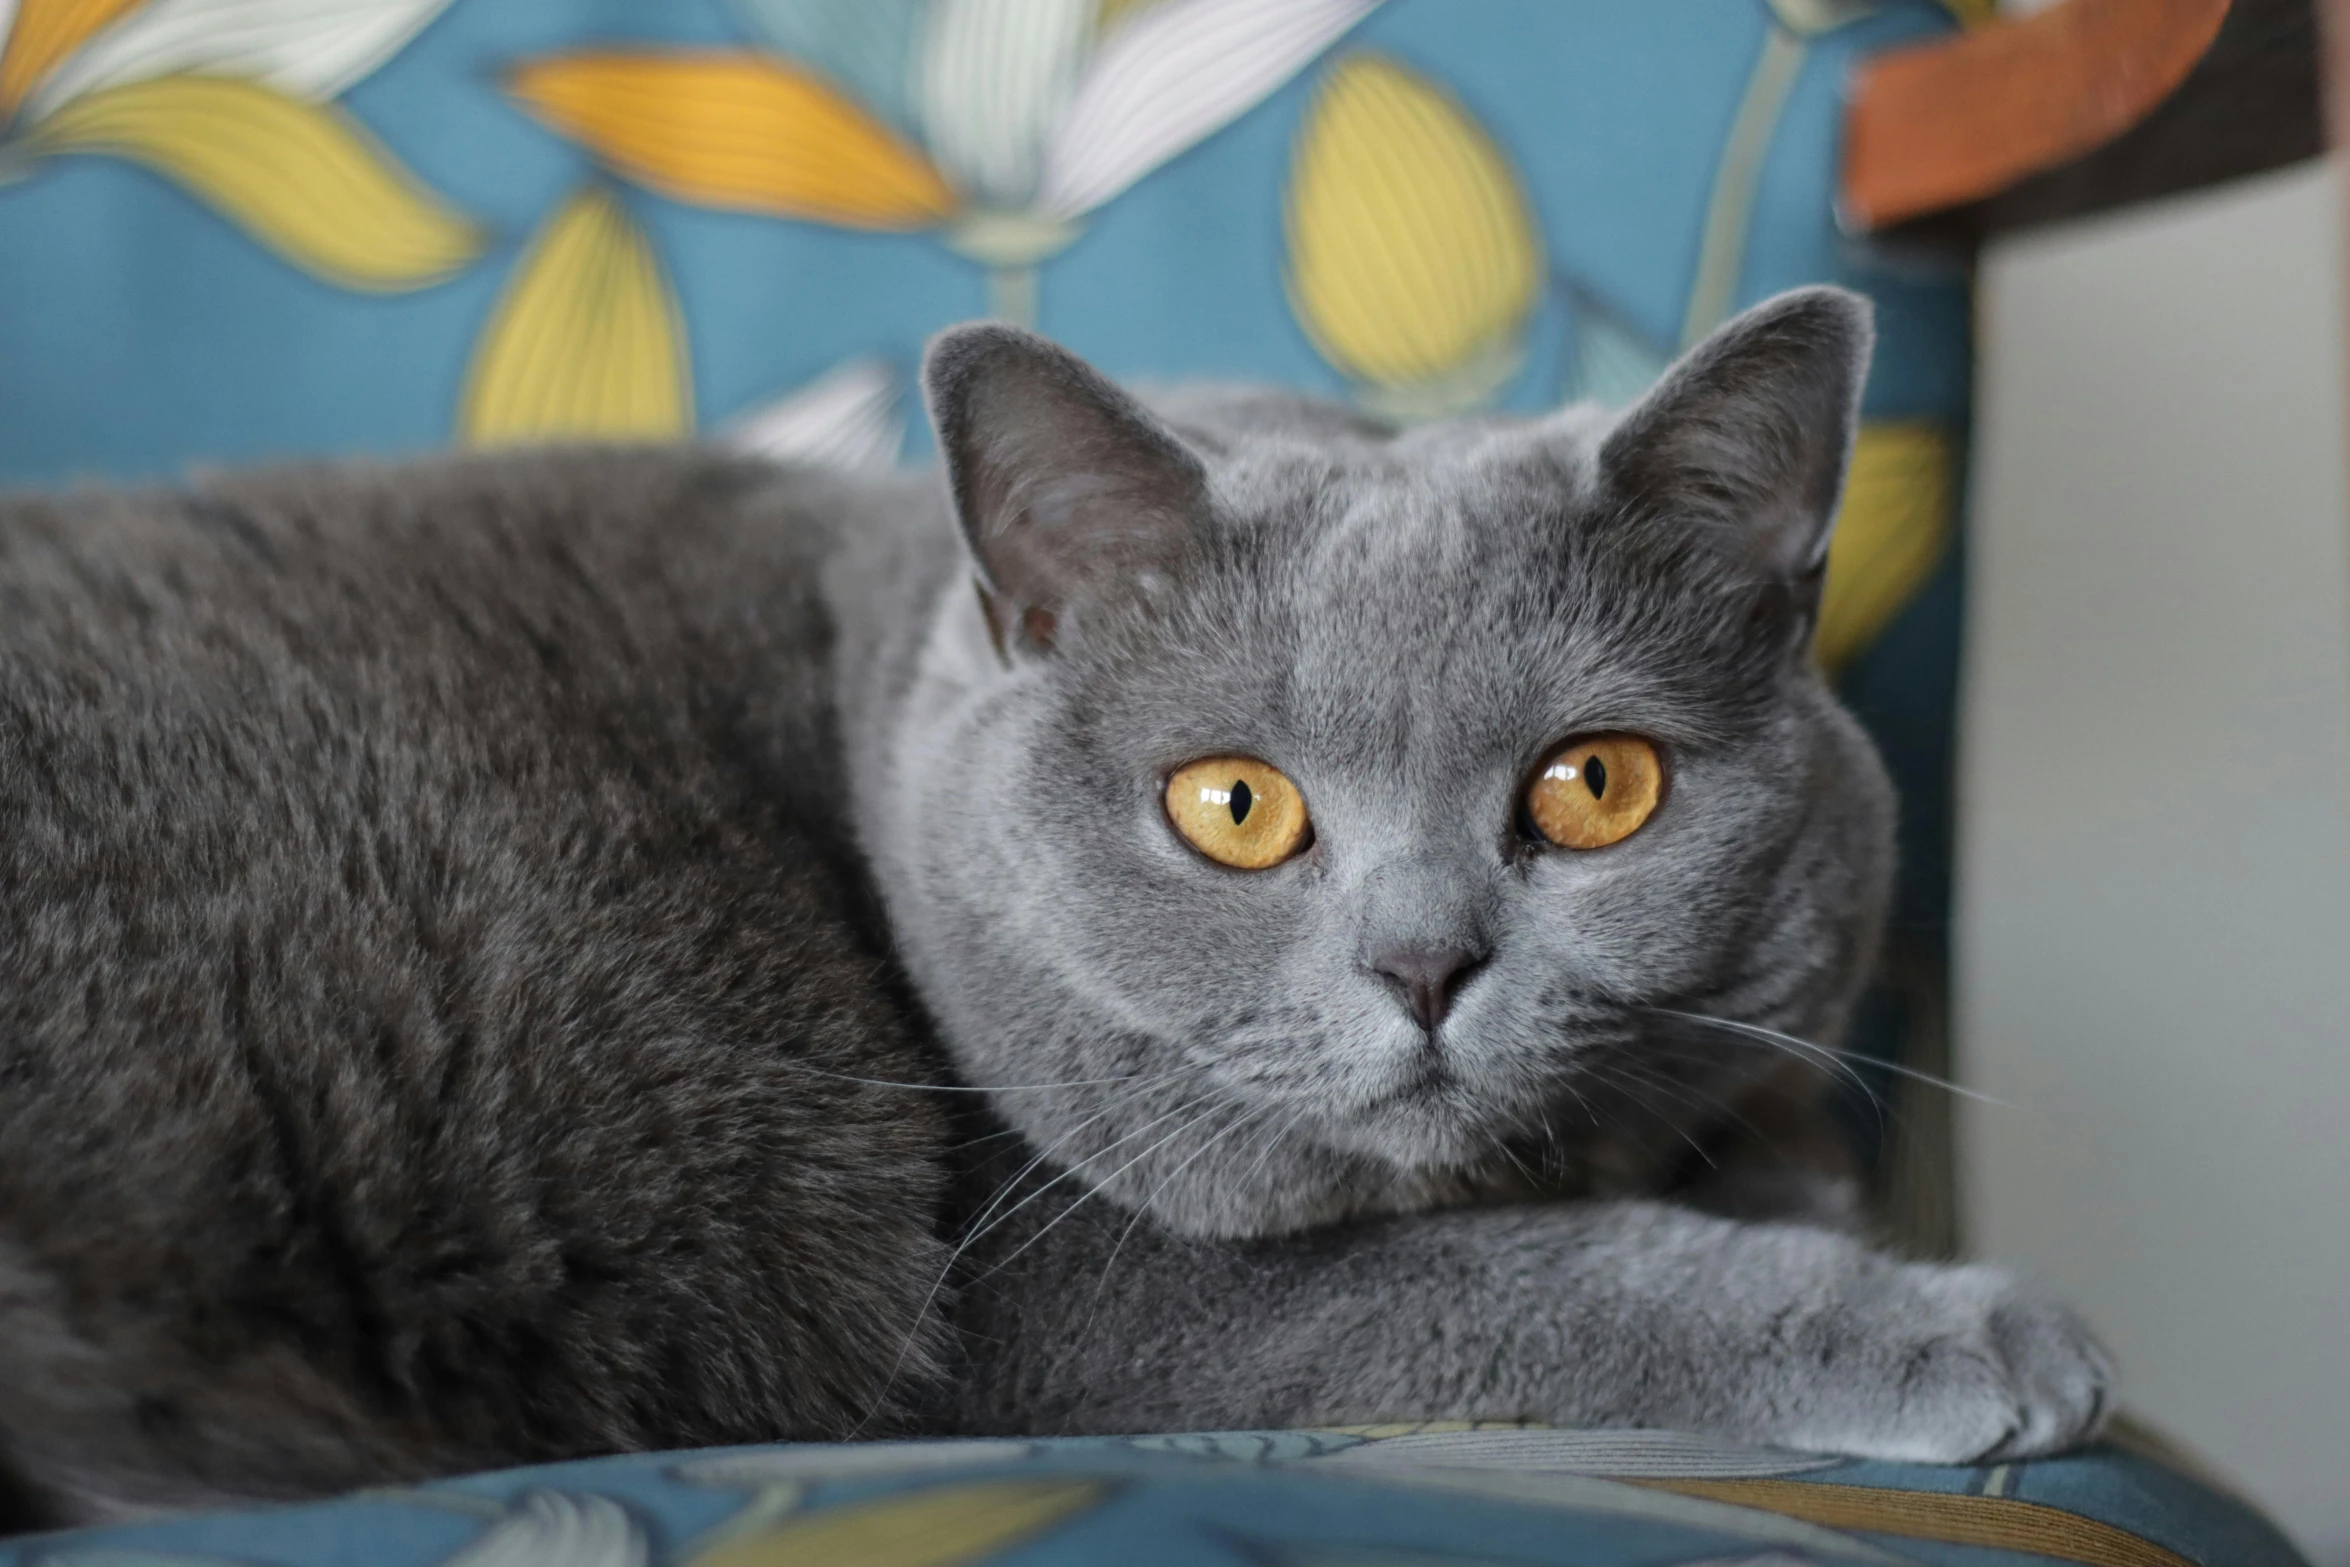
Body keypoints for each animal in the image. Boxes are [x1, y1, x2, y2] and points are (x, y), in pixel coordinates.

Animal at [0, 285, 2115, 1531]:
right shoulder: (1076, 1292)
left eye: (1596, 787)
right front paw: (1986, 1330)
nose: (1426, 962)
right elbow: (1552, 1276)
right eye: (1234, 807)